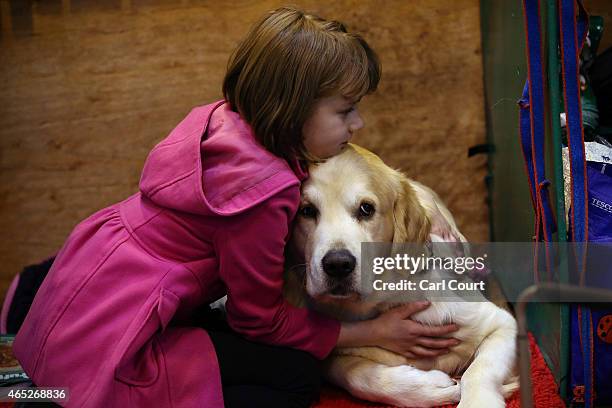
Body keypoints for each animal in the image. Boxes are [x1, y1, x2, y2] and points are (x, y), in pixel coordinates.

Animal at [284, 144, 520, 408]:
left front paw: (478, 401)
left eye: (366, 209)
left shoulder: (501, 323)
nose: (337, 264)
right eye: (307, 211)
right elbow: (355, 375)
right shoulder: (333, 354)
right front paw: (431, 388)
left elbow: (479, 370)